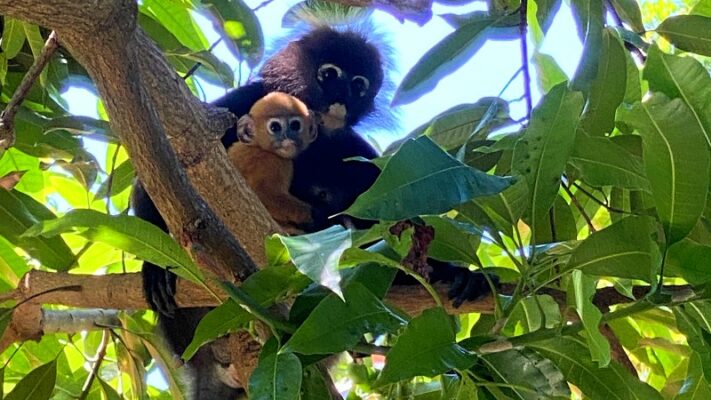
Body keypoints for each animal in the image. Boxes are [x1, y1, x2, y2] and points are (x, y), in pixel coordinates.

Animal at [229, 92, 318, 234]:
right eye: (275, 127)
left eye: (295, 125)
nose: (287, 138)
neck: (259, 147)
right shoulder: (273, 163)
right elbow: (263, 193)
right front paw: (311, 216)